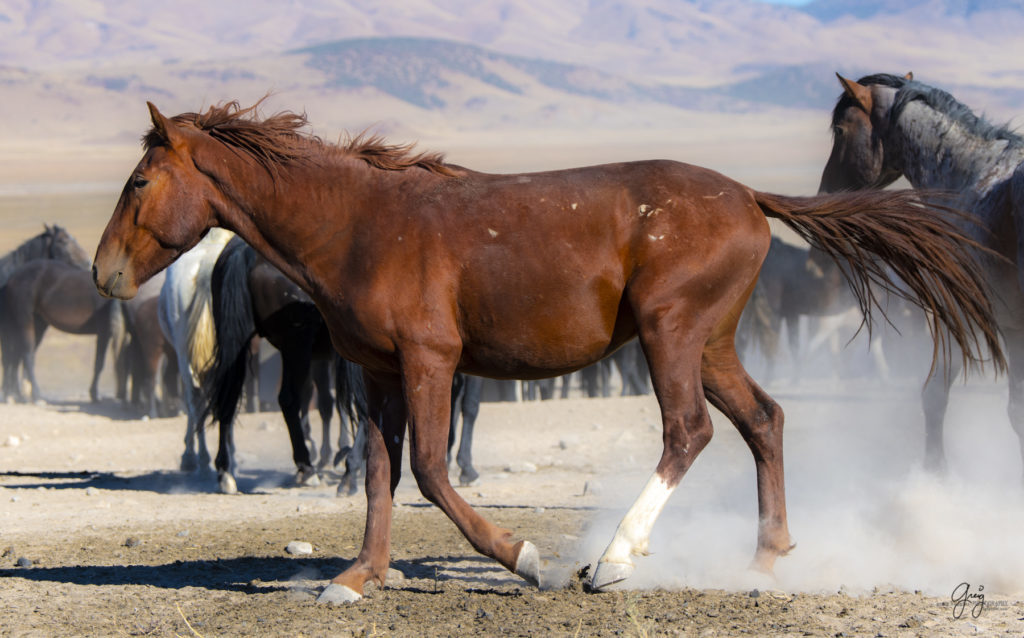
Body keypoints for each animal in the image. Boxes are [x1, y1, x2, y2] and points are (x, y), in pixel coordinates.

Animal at [92, 100, 1003, 602]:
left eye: (139, 182)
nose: (104, 273)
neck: (357, 225)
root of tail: (749, 195)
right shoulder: (376, 370)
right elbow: (380, 471)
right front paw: (357, 578)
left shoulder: (431, 360)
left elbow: (430, 469)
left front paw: (526, 559)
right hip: (709, 341)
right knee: (764, 421)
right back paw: (764, 558)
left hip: (671, 334)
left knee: (691, 431)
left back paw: (614, 562)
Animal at [819, 72, 1024, 477]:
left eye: (840, 129)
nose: (825, 192)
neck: (971, 178)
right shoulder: (1009, 327)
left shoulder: (964, 316)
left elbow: (935, 394)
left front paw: (935, 475)